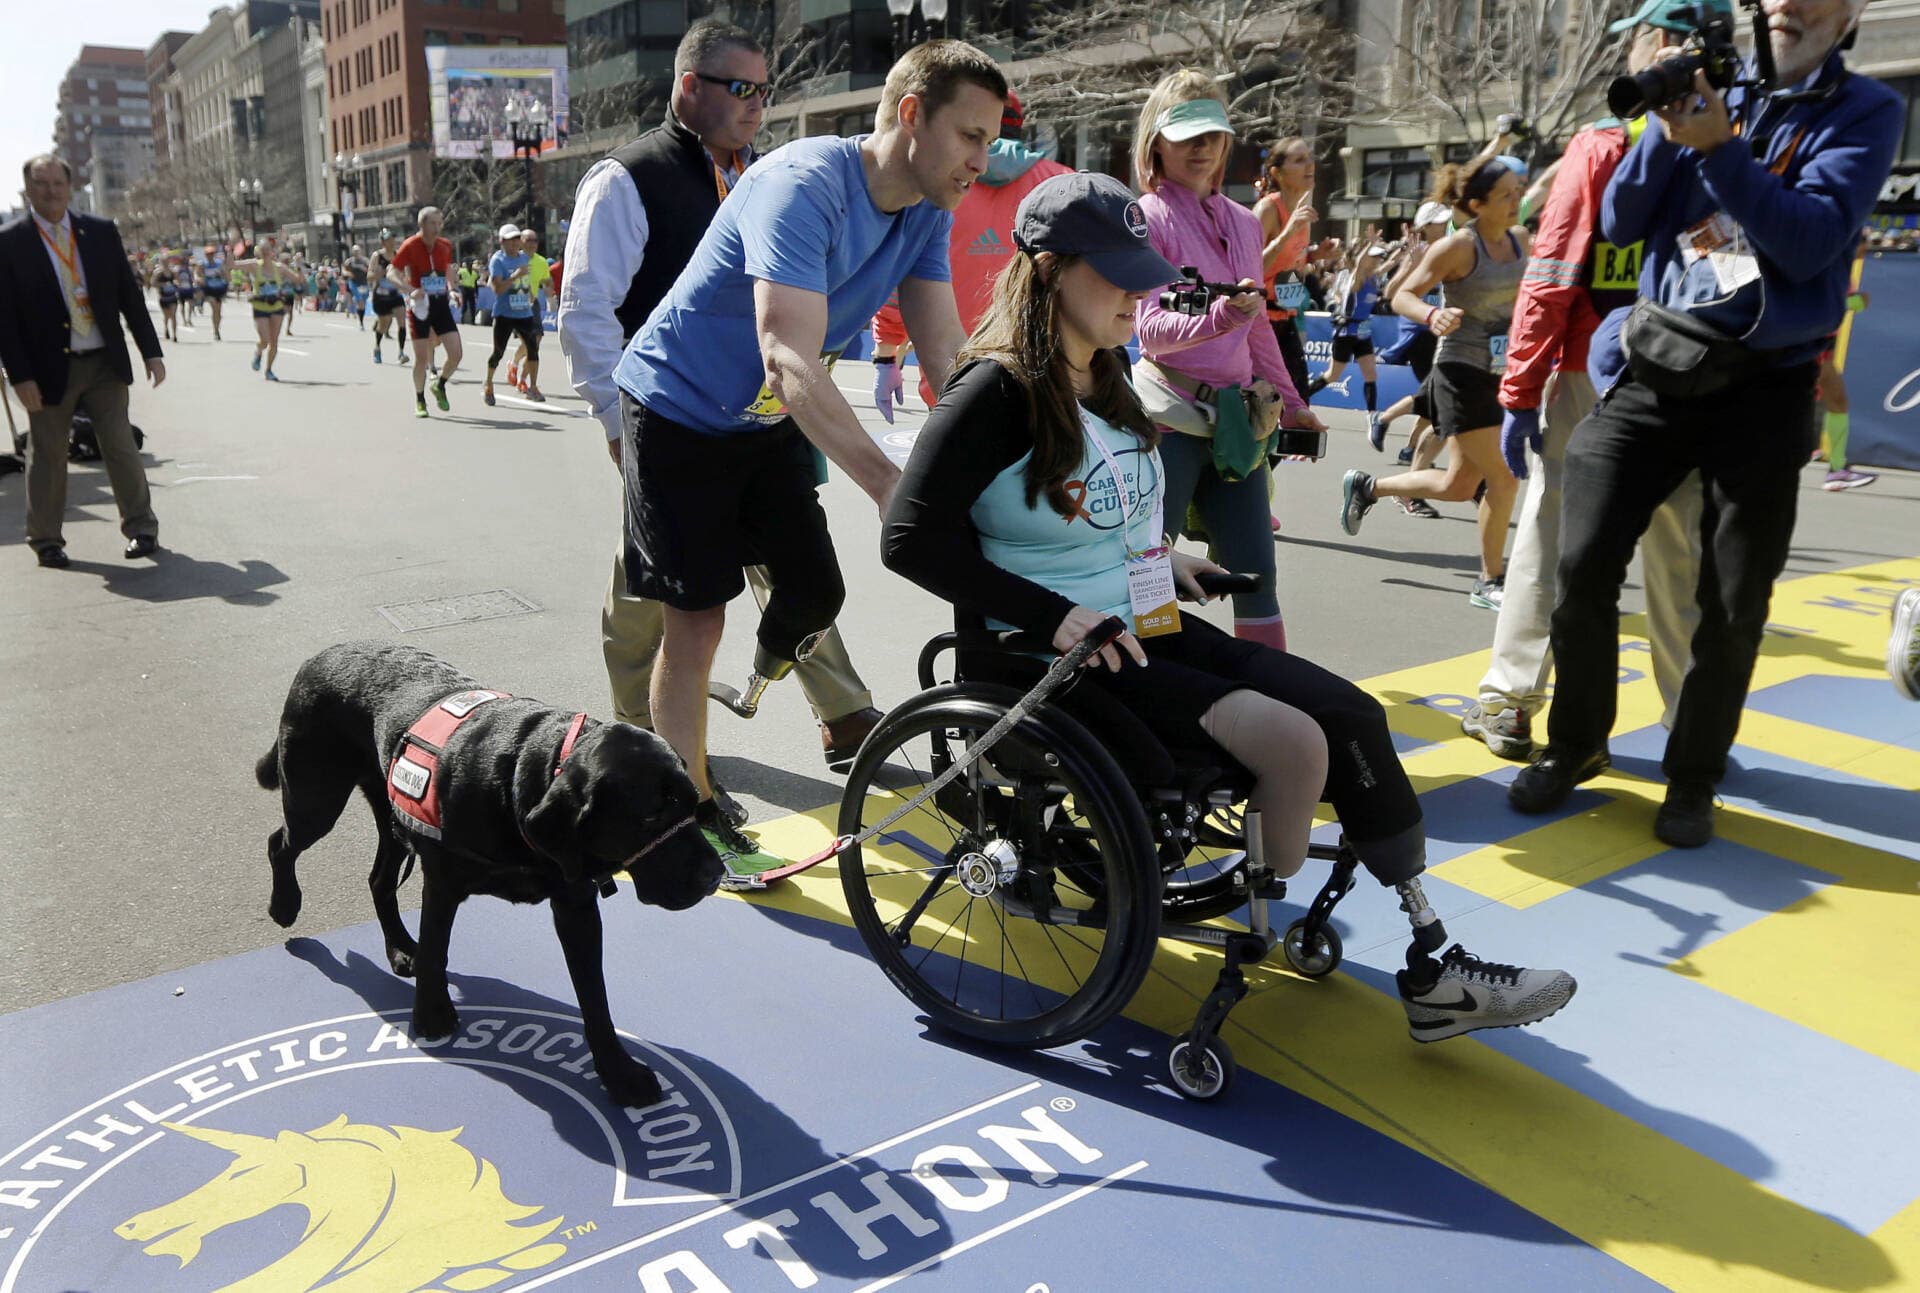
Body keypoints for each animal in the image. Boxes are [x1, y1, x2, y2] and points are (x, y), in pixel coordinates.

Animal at [259, 641, 721, 1106]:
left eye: (692, 803)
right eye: (650, 815)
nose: (715, 874)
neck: (527, 774)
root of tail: (325, 652)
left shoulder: (575, 906)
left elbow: (594, 994)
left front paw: (618, 1072)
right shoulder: (442, 882)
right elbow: (437, 949)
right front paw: (431, 1014)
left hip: (390, 817)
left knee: (378, 880)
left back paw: (400, 948)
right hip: (316, 796)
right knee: (281, 842)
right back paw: (285, 904)